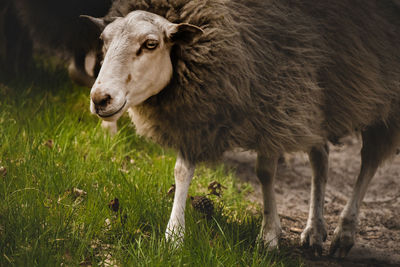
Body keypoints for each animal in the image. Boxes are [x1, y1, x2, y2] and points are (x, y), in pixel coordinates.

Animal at [84, 0, 400, 260]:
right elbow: (181, 171)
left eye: (150, 44)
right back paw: (314, 230)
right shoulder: (196, 114)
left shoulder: (277, 98)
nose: (100, 99)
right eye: (103, 41)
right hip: (320, 94)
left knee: (369, 160)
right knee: (320, 156)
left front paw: (269, 234)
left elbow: (266, 173)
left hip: (376, 94)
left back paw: (343, 233)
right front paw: (174, 235)